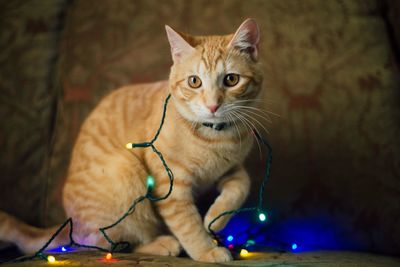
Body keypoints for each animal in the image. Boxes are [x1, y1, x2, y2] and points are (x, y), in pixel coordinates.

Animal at [0, 19, 264, 264]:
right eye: (194, 82)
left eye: (231, 80)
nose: (212, 105)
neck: (216, 138)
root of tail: (70, 225)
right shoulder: (170, 184)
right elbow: (188, 224)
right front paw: (206, 250)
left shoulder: (230, 169)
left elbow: (241, 186)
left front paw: (214, 219)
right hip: (126, 171)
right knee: (114, 243)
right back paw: (162, 244)